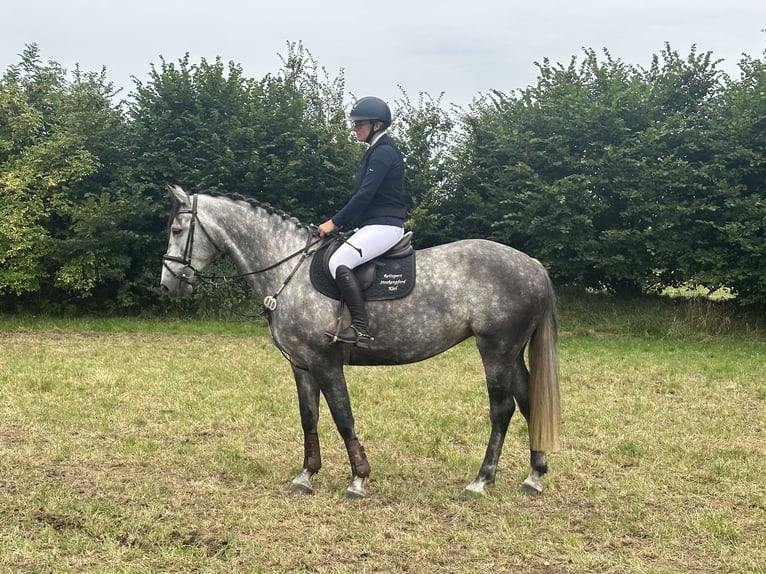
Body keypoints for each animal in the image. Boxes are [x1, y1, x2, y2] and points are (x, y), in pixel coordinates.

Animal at [159, 188, 560, 500]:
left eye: (178, 229)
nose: (168, 285)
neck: (289, 270)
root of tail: (532, 264)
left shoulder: (325, 362)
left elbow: (343, 417)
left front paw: (357, 478)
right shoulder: (301, 364)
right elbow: (309, 417)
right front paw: (306, 475)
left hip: (496, 349)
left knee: (502, 409)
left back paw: (481, 480)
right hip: (512, 352)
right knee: (529, 400)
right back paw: (534, 476)